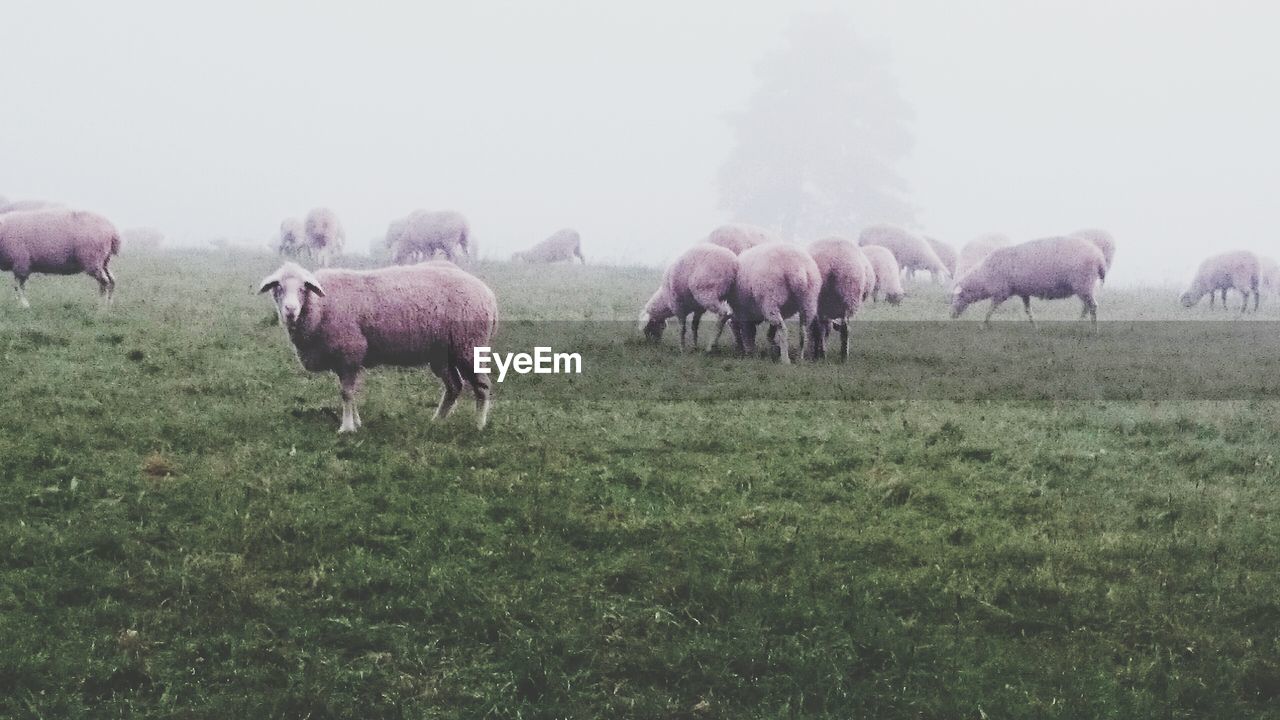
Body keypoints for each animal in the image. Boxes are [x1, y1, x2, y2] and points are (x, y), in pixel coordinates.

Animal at [257, 262, 496, 435]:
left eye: (302, 288)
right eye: (278, 288)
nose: (290, 310)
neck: (320, 306)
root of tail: (489, 295)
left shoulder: (350, 351)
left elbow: (346, 393)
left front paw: (346, 428)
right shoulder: (347, 360)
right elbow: (351, 393)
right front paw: (356, 422)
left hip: (469, 347)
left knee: (482, 386)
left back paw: (479, 425)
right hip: (442, 355)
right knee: (454, 387)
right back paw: (437, 421)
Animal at [952, 234, 1111, 326]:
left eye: (957, 297)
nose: (951, 316)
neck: (983, 277)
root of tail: (1099, 258)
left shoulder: (1000, 293)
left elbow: (990, 310)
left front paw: (983, 324)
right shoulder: (1024, 292)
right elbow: (1028, 310)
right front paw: (1034, 326)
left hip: (1083, 284)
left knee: (1093, 306)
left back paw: (1093, 329)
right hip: (1086, 287)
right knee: (1087, 306)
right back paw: (1080, 323)